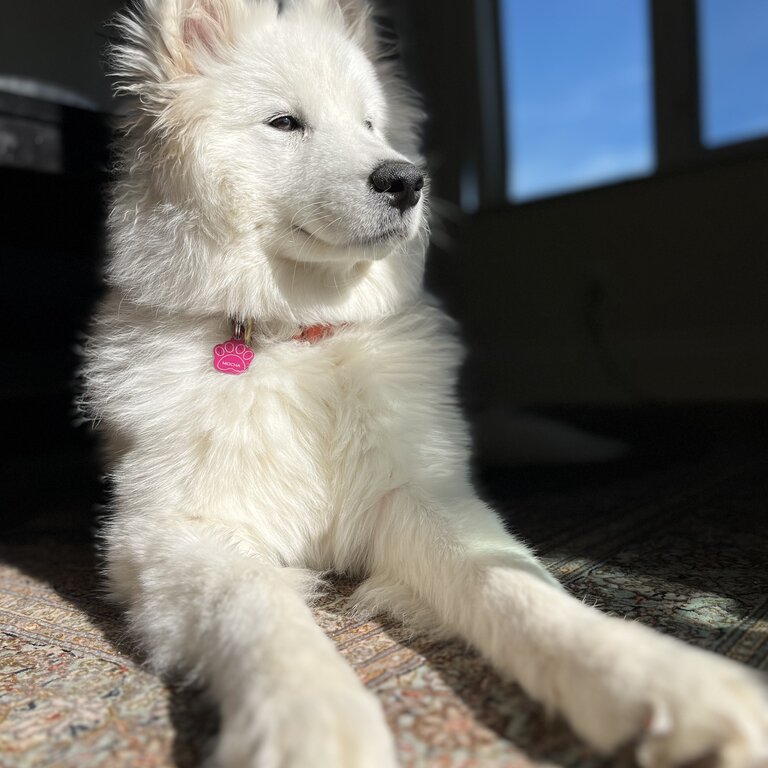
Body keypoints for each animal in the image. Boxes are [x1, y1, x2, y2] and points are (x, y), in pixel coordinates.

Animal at [81, 1, 764, 768]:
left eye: (370, 125)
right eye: (285, 122)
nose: (407, 181)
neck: (302, 337)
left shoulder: (417, 496)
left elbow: (514, 580)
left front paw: (656, 675)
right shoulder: (174, 535)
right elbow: (259, 609)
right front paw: (311, 721)